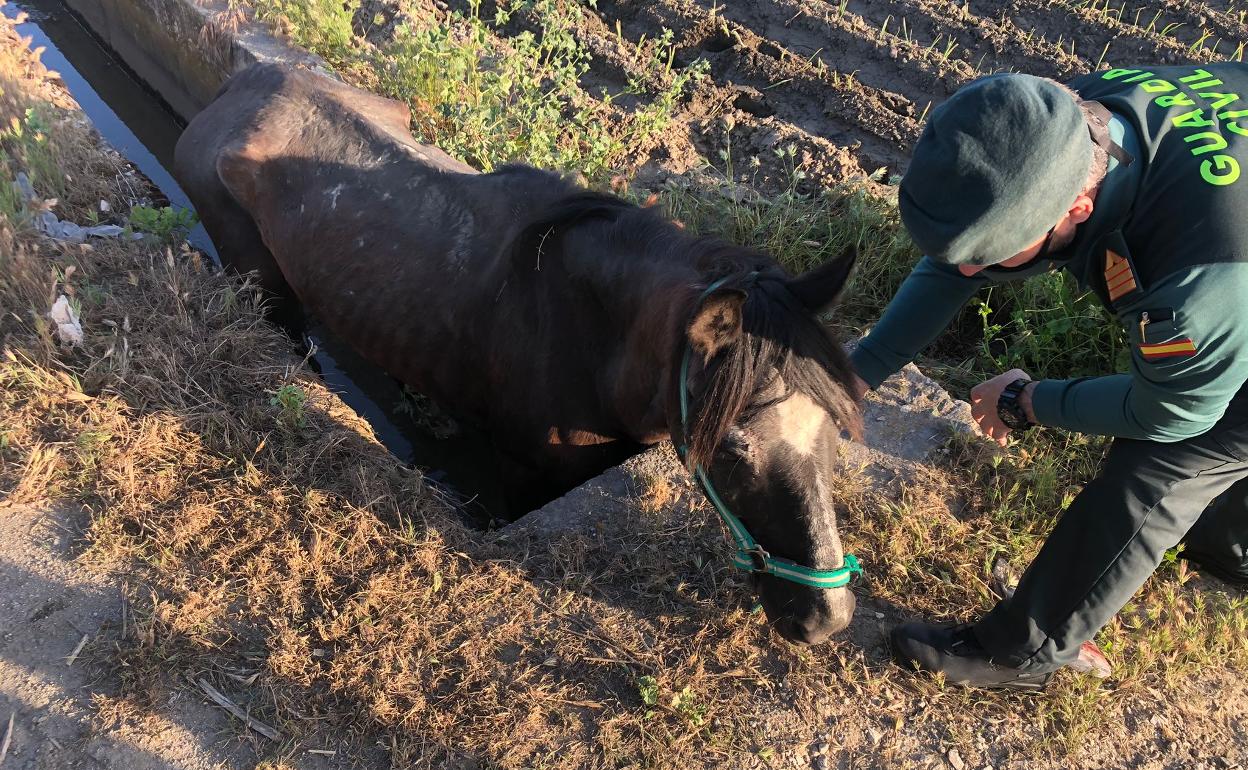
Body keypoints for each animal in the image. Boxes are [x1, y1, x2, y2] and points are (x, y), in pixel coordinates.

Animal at [174, 63, 864, 644]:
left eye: (837, 431)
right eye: (734, 449)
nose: (825, 619)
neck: (598, 343)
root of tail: (243, 84)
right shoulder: (525, 471)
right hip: (260, 286)